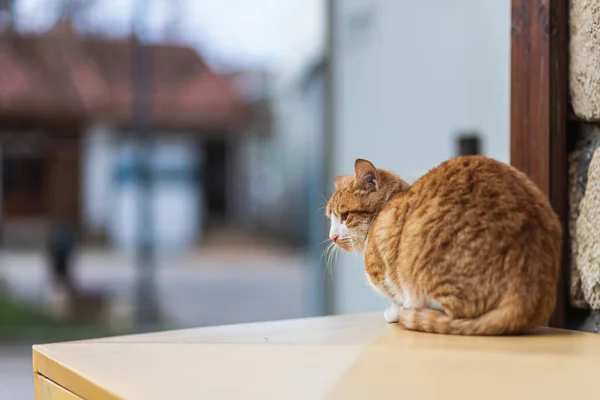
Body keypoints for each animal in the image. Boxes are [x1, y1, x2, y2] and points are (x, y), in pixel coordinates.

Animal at [326, 156, 560, 334]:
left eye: (345, 216)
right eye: (330, 218)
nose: (332, 237)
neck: (388, 204)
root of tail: (525, 292)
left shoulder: (385, 271)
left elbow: (395, 296)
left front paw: (393, 312)